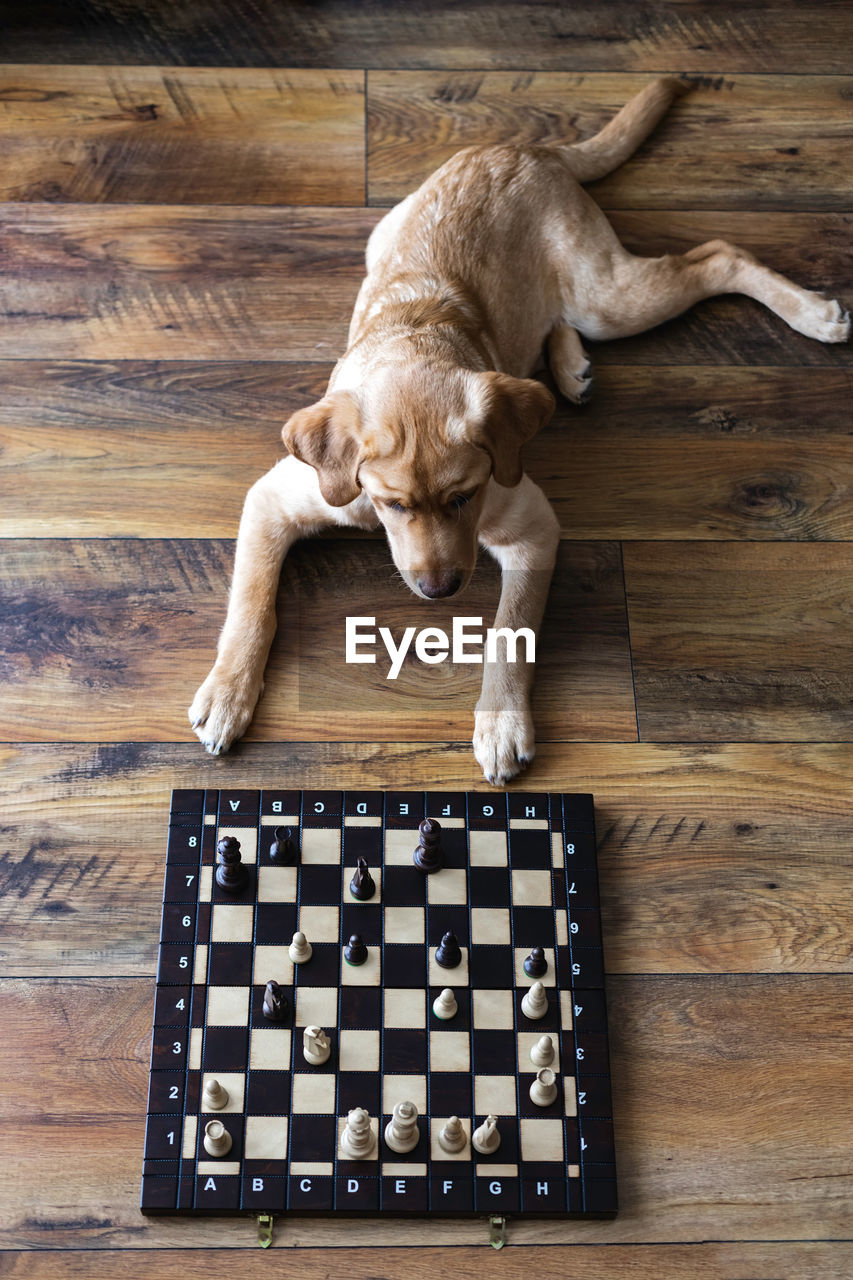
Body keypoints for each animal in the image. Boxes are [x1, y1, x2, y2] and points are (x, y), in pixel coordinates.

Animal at [189, 80, 845, 783]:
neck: (413, 340)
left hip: (605, 294)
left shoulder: (533, 527)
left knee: (717, 257)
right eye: (392, 504)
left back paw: (810, 314)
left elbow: (510, 632)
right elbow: (251, 602)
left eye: (464, 497)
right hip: (392, 240)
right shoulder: (275, 499)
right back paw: (570, 367)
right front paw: (227, 692)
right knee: (557, 318)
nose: (441, 590)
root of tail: (526, 147)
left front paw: (501, 724)